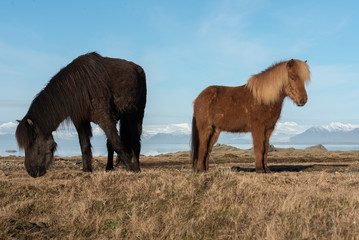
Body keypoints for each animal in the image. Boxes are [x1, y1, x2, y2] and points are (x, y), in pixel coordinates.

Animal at [15, 52, 148, 176]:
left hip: (136, 114)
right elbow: (84, 145)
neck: (79, 87)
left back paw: (136, 166)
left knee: (135, 140)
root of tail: (138, 68)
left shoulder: (105, 119)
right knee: (111, 143)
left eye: (31, 142)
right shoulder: (81, 122)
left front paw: (132, 169)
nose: (31, 171)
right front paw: (87, 170)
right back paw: (109, 168)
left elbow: (117, 144)